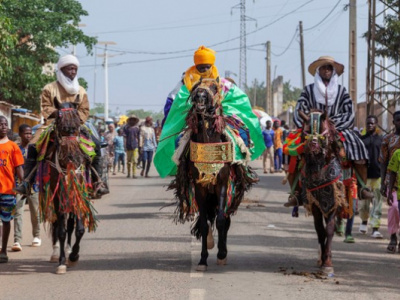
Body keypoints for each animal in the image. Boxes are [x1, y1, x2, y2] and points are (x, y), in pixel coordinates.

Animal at [37, 98, 97, 274]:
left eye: (77, 117)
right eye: (58, 117)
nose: (72, 155)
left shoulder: (80, 193)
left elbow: (79, 229)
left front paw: (74, 256)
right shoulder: (58, 196)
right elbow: (61, 231)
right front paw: (62, 261)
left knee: (70, 224)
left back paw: (69, 249)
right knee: (59, 224)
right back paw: (57, 253)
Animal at [170, 78, 256, 270]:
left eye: (214, 88)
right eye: (195, 88)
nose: (199, 97)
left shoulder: (222, 184)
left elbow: (221, 220)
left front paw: (222, 254)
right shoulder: (200, 187)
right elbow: (203, 223)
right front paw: (203, 259)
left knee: (225, 218)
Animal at [296, 110, 346, 274]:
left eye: (323, 131)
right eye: (305, 132)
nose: (313, 146)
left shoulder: (332, 201)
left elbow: (329, 229)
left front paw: (328, 263)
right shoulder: (315, 204)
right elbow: (320, 230)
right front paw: (323, 258)